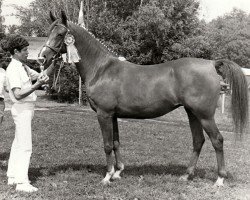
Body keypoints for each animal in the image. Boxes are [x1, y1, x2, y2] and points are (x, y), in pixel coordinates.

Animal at [38, 10, 249, 186]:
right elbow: (116, 143)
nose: (42, 58)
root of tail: (212, 63)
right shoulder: (113, 115)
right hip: (192, 113)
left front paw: (107, 177)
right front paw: (118, 172)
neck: (101, 69)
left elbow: (107, 145)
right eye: (48, 31)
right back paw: (186, 175)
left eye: (60, 34)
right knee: (198, 141)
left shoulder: (104, 114)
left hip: (205, 115)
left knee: (217, 140)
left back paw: (219, 179)